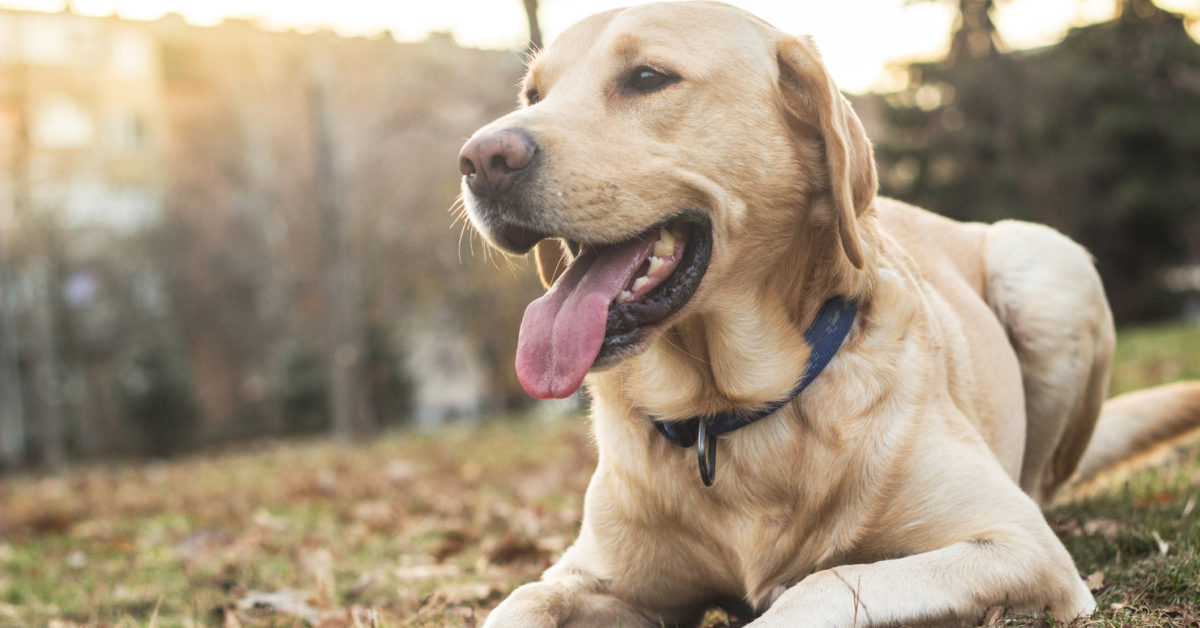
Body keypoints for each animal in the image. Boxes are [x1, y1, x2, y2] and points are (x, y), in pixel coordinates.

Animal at [453, 3, 1195, 624]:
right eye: (534, 95)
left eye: (646, 78)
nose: (480, 159)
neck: (724, 414)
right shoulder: (594, 578)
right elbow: (520, 602)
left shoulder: (1016, 545)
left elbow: (824, 583)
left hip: (1045, 262)